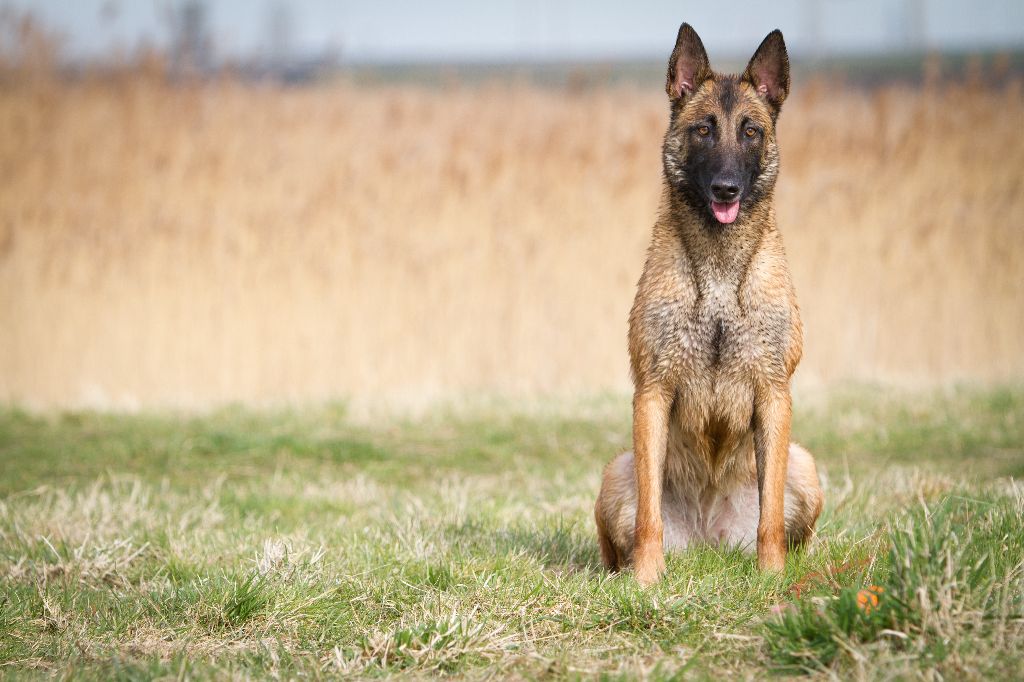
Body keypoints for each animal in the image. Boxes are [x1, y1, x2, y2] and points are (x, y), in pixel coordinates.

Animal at [593, 23, 823, 581]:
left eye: (750, 131)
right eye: (702, 130)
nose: (726, 188)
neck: (719, 273)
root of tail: (707, 540)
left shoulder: (774, 396)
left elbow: (770, 517)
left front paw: (771, 577)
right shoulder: (652, 393)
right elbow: (650, 513)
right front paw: (647, 580)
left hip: (804, 464)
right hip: (615, 471)